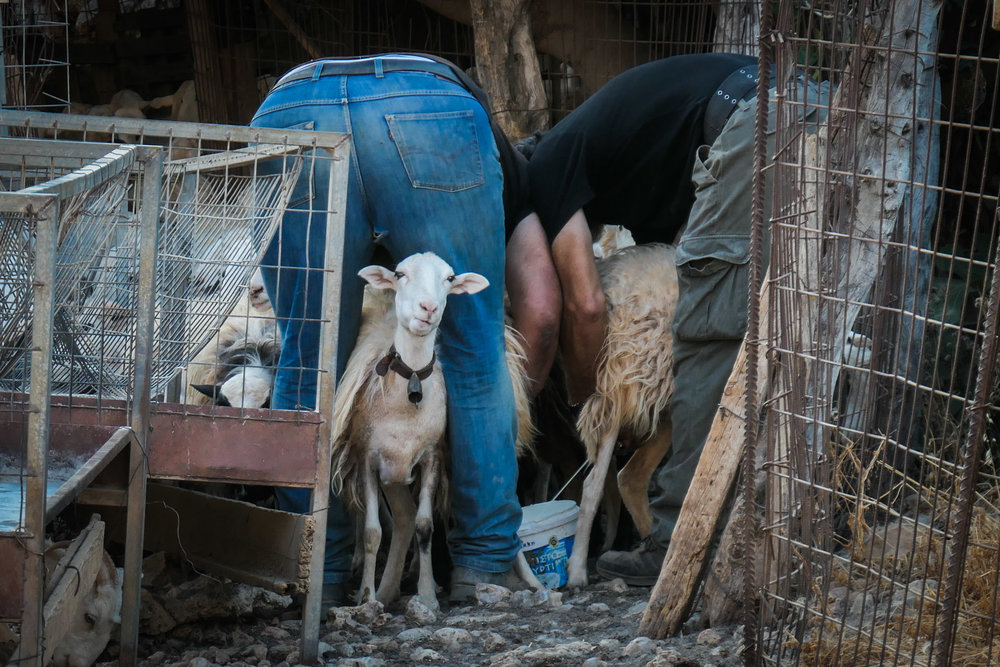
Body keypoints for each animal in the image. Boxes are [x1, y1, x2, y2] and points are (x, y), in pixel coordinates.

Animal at [332, 254, 544, 612]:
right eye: (400, 274)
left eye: (449, 278)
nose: (428, 308)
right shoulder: (367, 459)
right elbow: (373, 532)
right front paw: (367, 598)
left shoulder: (431, 457)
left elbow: (424, 527)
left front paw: (427, 595)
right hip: (389, 471)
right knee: (396, 521)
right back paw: (383, 591)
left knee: (415, 519)